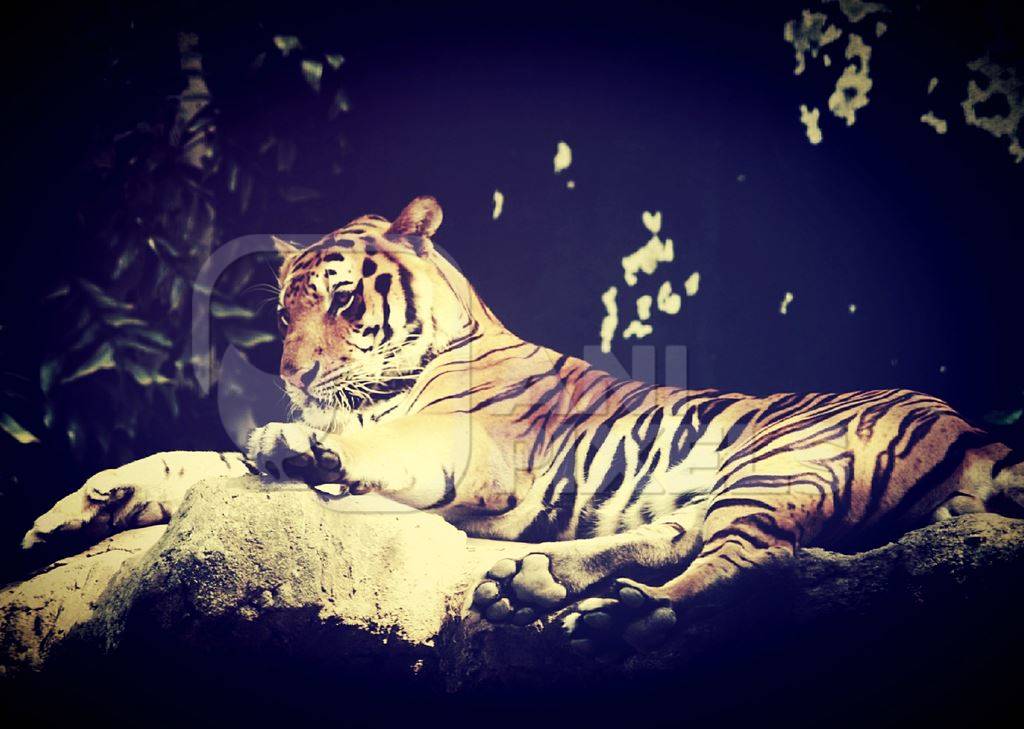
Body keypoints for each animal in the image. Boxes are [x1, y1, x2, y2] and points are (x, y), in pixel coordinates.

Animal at [24, 196, 1024, 659]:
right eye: (281, 312)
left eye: (342, 301)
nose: (296, 377)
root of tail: (969, 425)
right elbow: (191, 461)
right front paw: (76, 510)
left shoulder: (460, 450)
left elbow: (334, 449)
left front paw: (298, 445)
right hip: (742, 479)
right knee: (687, 532)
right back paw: (536, 582)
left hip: (780, 461)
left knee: (756, 562)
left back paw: (623, 620)